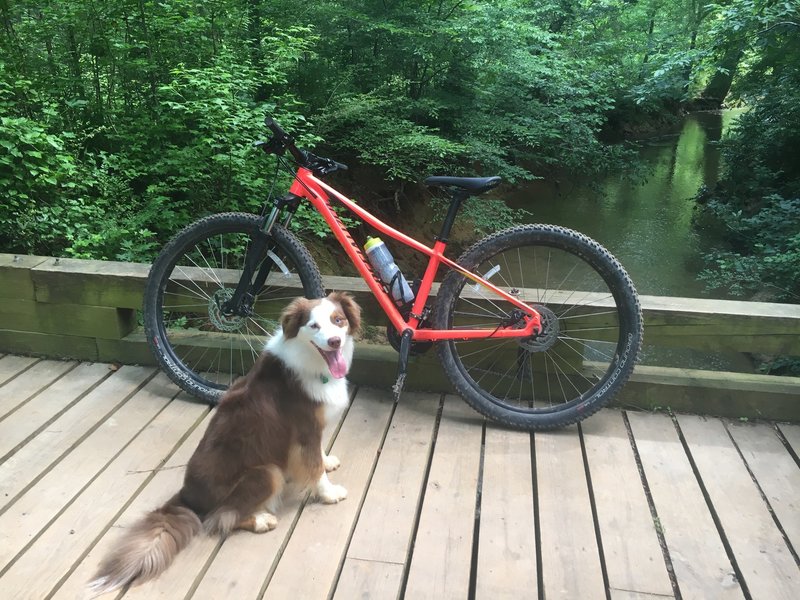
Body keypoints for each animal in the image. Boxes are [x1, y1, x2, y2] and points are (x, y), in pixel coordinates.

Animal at [89, 292, 360, 596]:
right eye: (313, 326)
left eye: (338, 320)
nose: (334, 341)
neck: (308, 361)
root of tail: (187, 496)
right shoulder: (305, 431)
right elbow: (313, 468)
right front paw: (329, 493)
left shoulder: (311, 434)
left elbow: (317, 458)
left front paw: (327, 461)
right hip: (266, 472)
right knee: (220, 518)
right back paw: (261, 520)